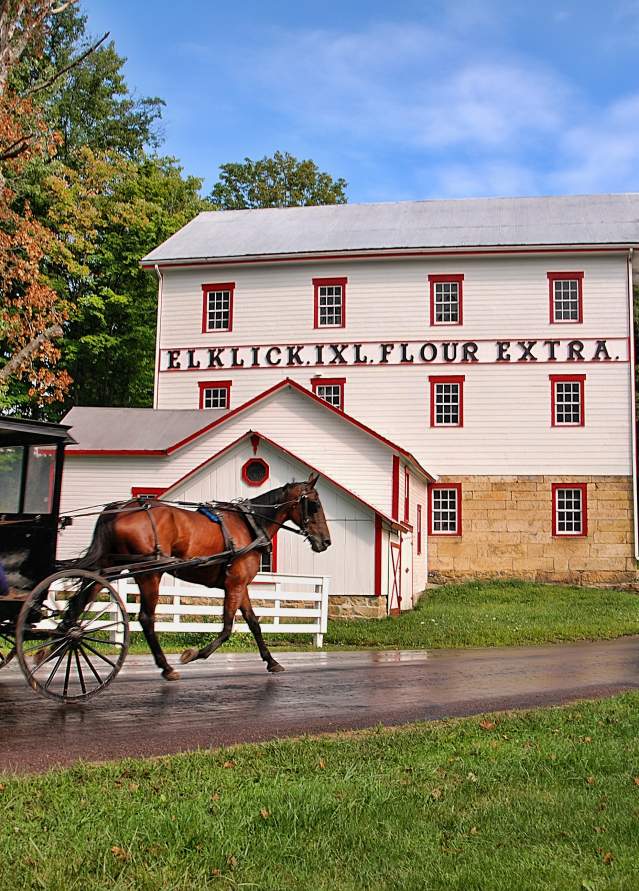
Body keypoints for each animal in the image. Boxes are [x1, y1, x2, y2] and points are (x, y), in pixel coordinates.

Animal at [77, 478, 332, 680]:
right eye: (315, 505)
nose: (326, 541)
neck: (250, 526)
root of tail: (121, 508)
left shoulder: (241, 586)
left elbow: (254, 623)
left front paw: (272, 661)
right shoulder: (234, 584)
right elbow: (228, 628)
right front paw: (195, 654)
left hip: (107, 567)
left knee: (81, 602)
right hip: (150, 573)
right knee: (146, 618)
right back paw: (166, 667)